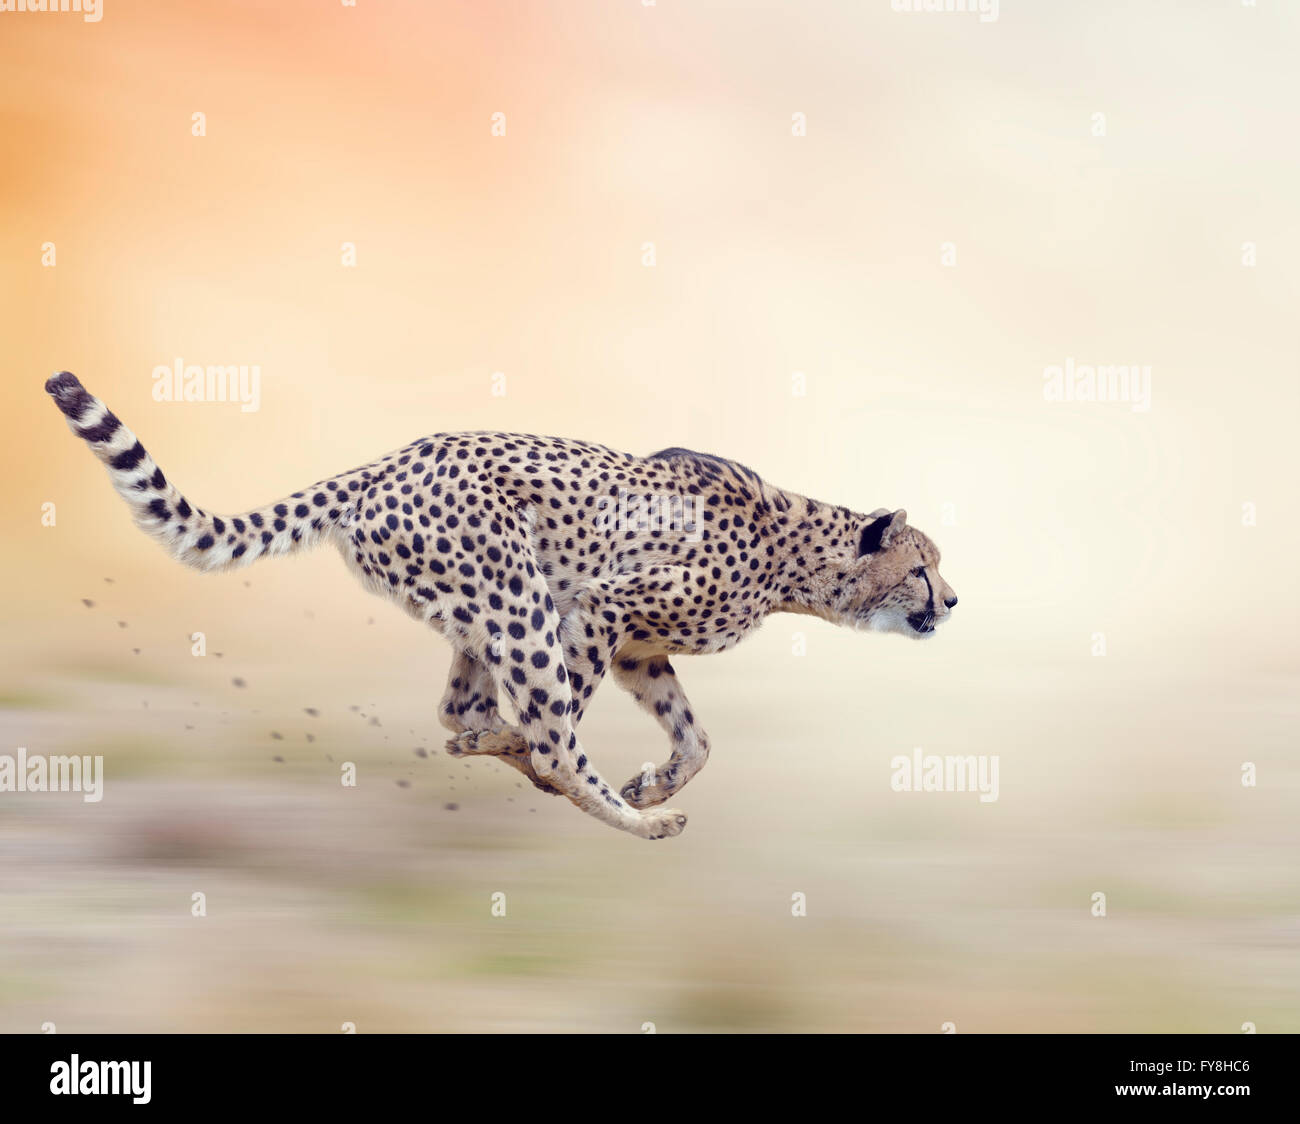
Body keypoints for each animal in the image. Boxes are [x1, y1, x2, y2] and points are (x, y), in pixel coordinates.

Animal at [45, 371, 958, 840]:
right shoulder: (603, 604)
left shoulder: (640, 646)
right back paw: (625, 816)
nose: (951, 601)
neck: (798, 557)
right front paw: (637, 795)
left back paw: (517, 753)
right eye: (921, 567)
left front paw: (655, 779)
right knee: (541, 733)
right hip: (519, 599)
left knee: (461, 711)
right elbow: (571, 721)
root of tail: (383, 463)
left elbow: (697, 738)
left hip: (481, 608)